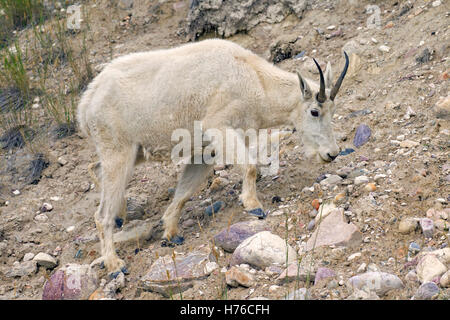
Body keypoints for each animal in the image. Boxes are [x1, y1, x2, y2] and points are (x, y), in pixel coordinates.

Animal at [77, 37, 350, 272]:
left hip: (134, 152)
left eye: (333, 109)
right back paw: (114, 262)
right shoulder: (220, 127)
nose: (331, 153)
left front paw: (170, 233)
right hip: (118, 151)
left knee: (95, 169)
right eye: (314, 111)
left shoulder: (205, 150)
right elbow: (250, 166)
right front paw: (253, 206)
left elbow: (184, 193)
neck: (256, 82)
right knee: (101, 214)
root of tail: (85, 103)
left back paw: (122, 215)